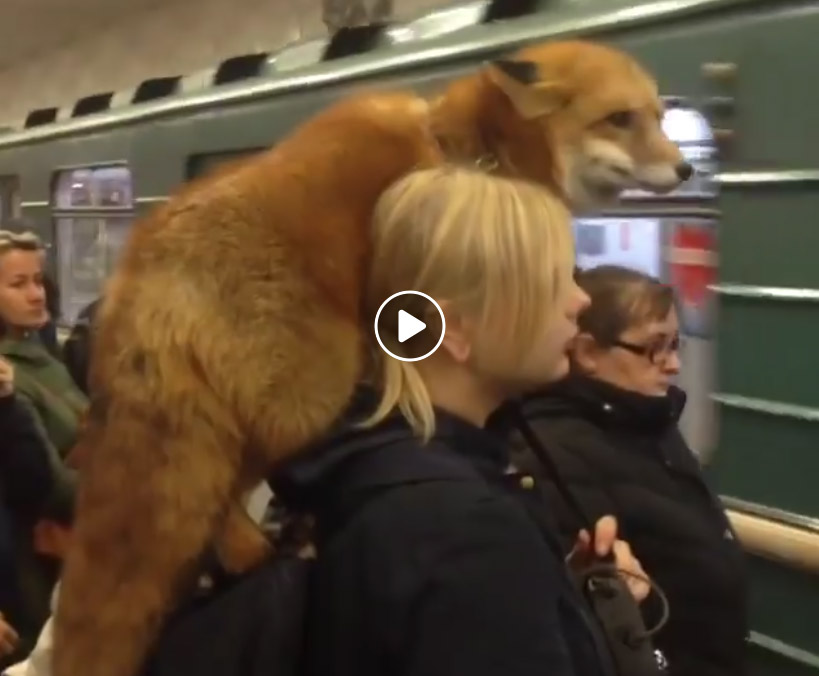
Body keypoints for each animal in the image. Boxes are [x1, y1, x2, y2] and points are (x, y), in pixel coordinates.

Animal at [52, 38, 692, 676]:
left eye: (659, 116)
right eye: (620, 119)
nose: (686, 168)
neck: (471, 150)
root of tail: (145, 267)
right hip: (311, 392)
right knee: (224, 499)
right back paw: (260, 551)